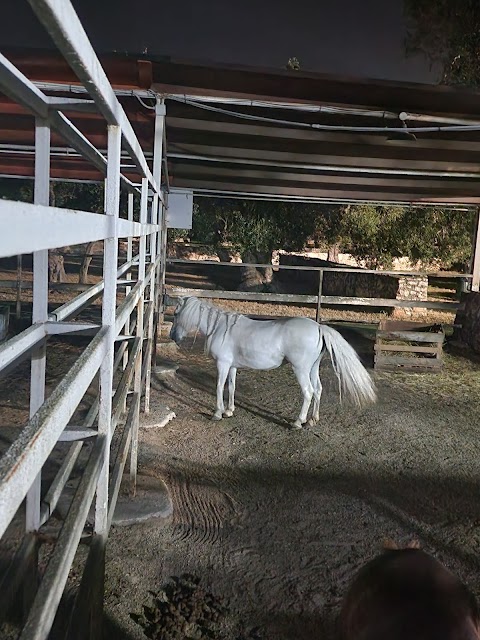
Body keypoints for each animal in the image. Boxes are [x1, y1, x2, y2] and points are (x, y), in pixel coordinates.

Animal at [171, 296, 376, 428]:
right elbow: (232, 386)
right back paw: (312, 420)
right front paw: (229, 411)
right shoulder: (232, 366)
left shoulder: (222, 364)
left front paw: (217, 413)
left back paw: (298, 422)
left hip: (300, 369)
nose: (173, 336)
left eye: (175, 314)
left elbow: (220, 387)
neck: (221, 327)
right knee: (318, 390)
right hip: (312, 368)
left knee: (308, 392)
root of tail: (319, 327)